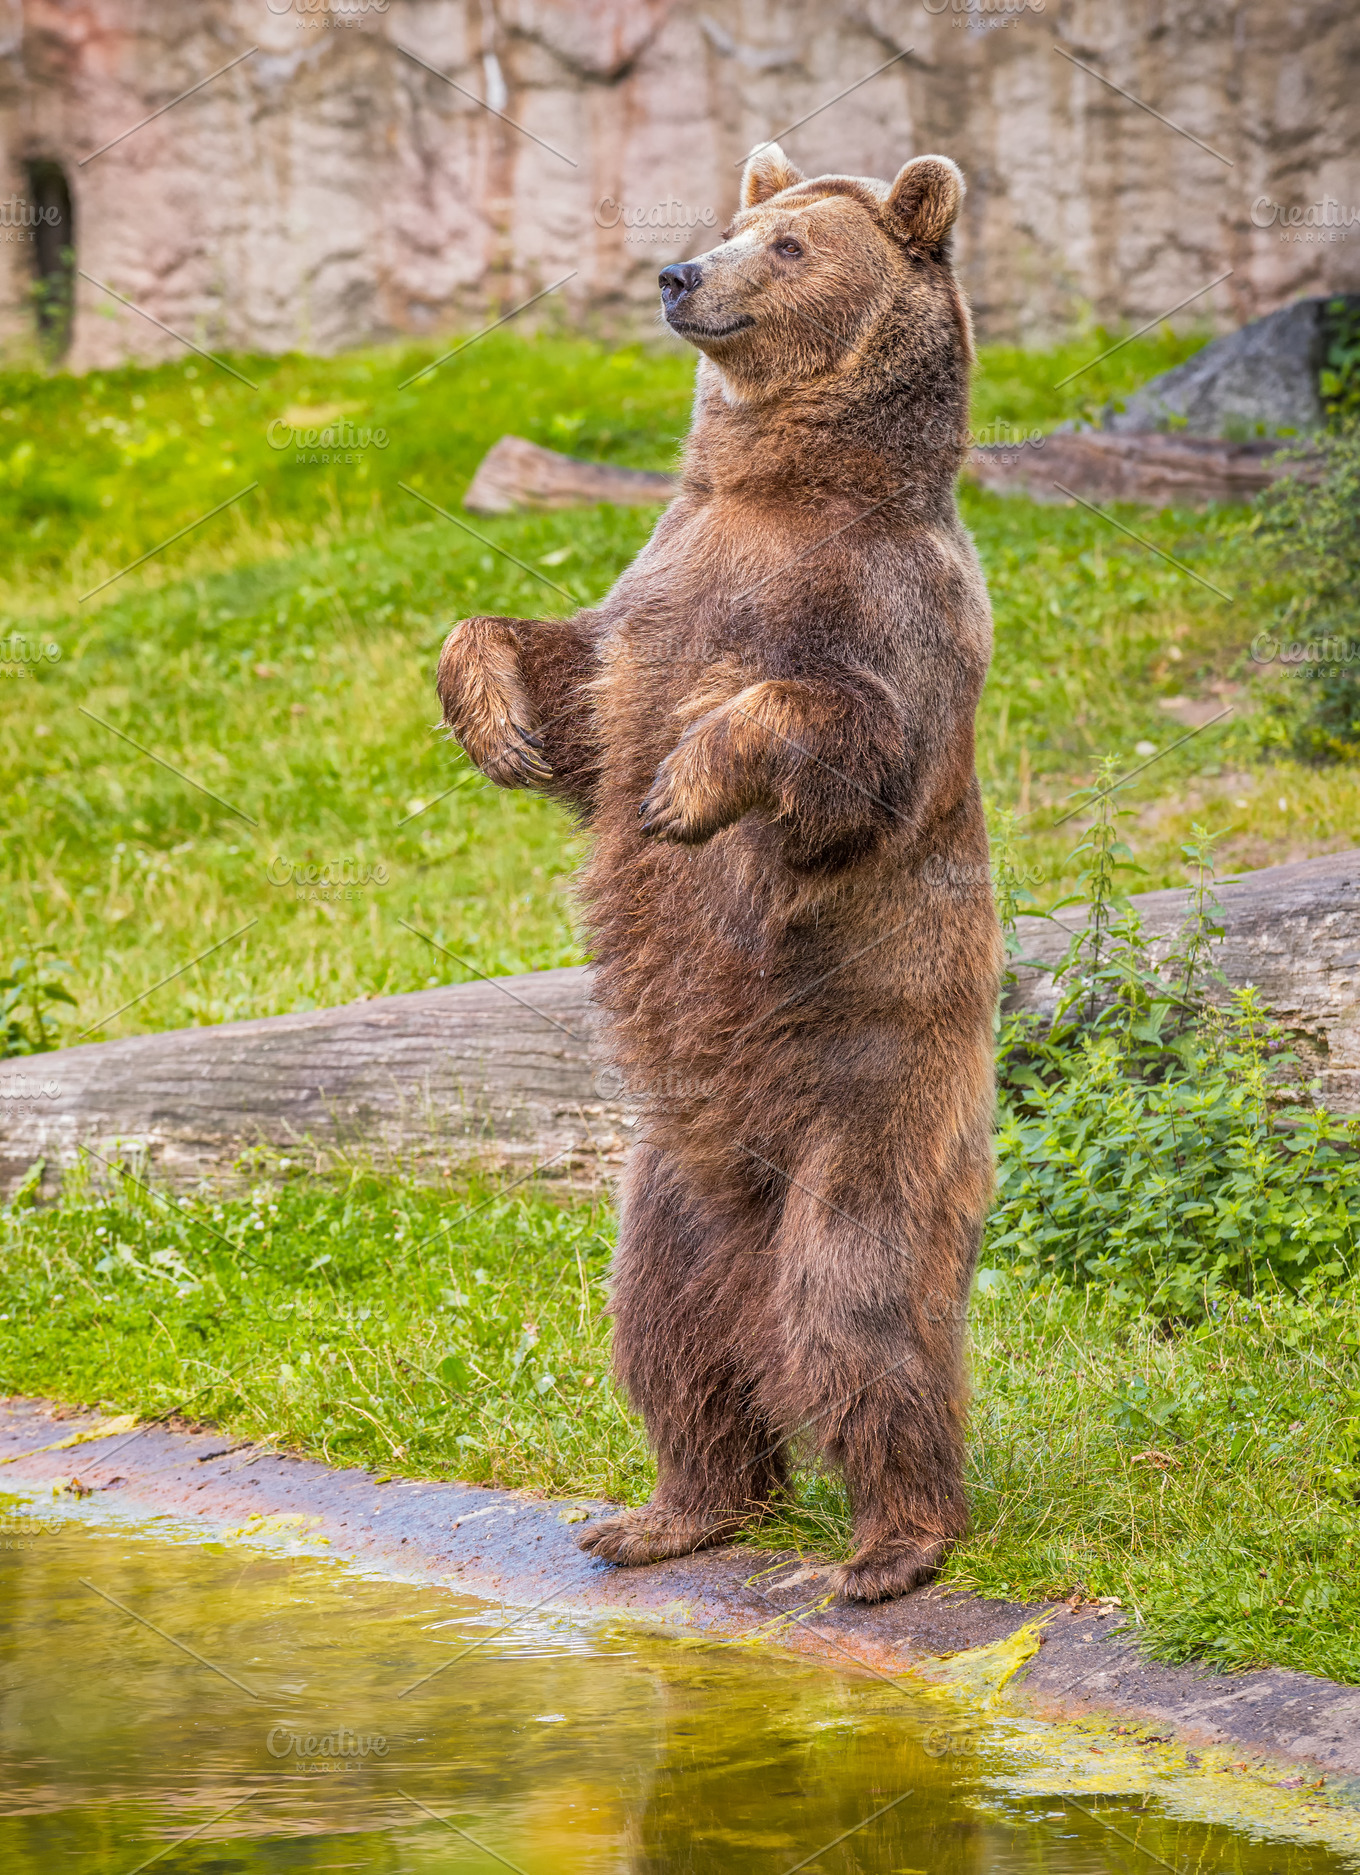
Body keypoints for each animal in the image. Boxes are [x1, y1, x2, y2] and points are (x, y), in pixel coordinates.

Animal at [435, 150, 997, 1612]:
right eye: (738, 222)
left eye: (790, 246)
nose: (682, 274)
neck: (787, 486)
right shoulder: (659, 588)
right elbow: (565, 677)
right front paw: (497, 717)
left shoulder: (889, 615)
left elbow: (838, 739)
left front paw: (689, 785)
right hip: (672, 1186)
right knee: (668, 1331)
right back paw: (670, 1509)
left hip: (873, 1098)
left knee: (860, 1309)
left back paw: (895, 1542)